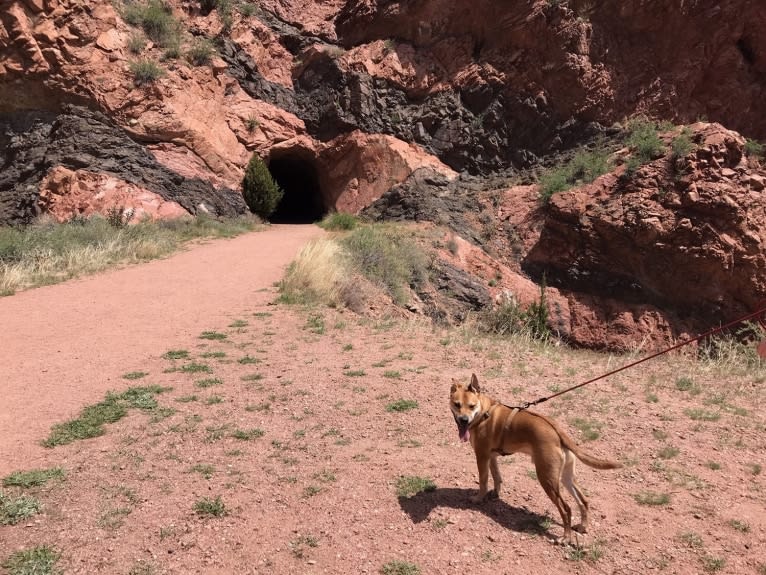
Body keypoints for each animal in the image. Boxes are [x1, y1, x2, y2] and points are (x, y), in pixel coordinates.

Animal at [450, 376, 624, 544]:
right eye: (457, 404)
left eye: (471, 406)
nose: (464, 420)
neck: (484, 412)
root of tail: (558, 431)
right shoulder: (492, 457)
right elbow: (497, 477)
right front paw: (495, 494)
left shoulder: (482, 456)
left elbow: (483, 480)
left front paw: (478, 498)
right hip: (566, 477)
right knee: (584, 501)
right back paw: (582, 526)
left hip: (547, 478)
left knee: (566, 508)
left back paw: (565, 538)